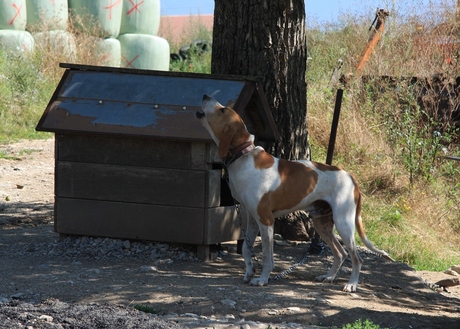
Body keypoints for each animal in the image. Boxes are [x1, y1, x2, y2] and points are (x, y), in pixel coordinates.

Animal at [194, 93, 392, 290]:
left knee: (356, 258)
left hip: (344, 224)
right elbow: (246, 249)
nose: (205, 95)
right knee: (341, 253)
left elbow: (266, 256)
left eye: (222, 110)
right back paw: (329, 276)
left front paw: (262, 279)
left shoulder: (266, 221)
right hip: (322, 224)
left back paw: (351, 284)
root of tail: (351, 178)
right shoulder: (252, 219)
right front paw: (249, 272)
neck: (244, 156)